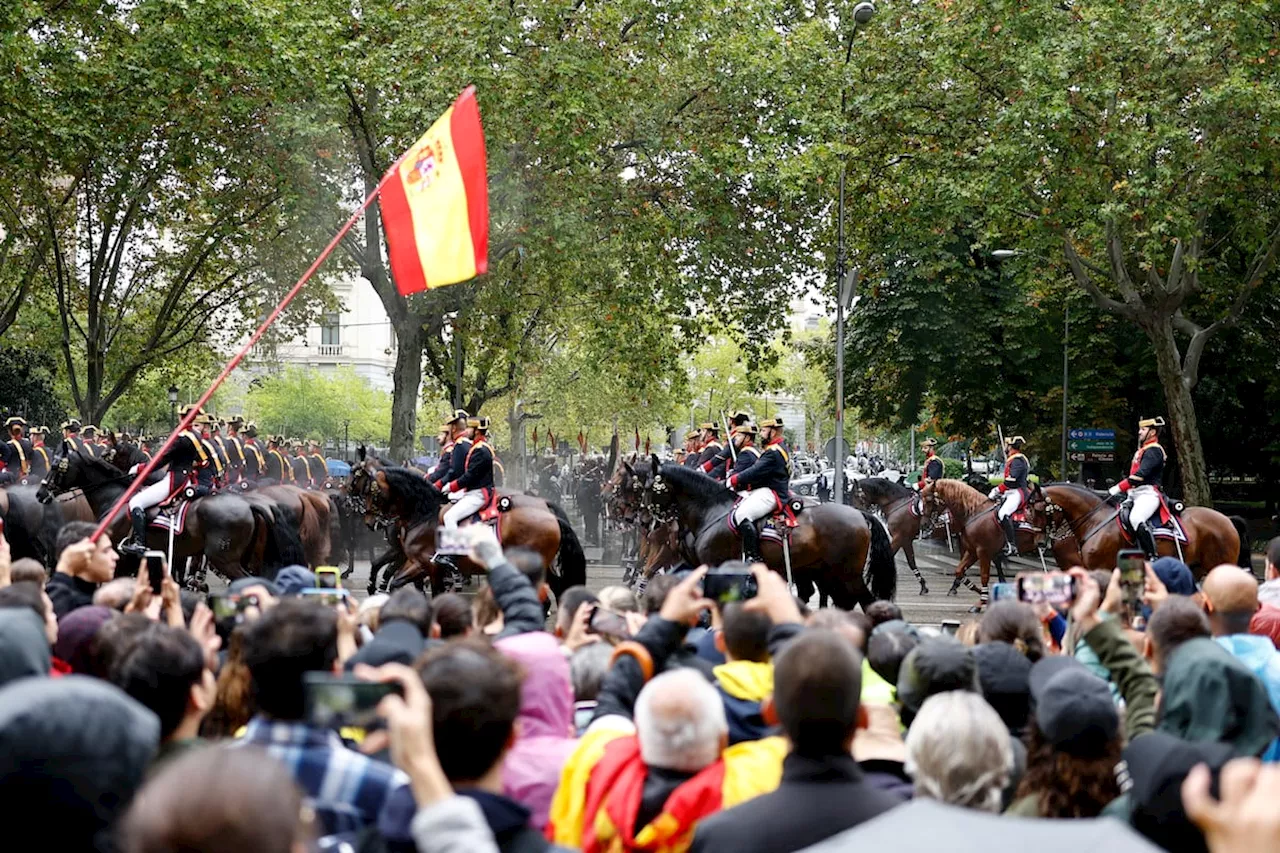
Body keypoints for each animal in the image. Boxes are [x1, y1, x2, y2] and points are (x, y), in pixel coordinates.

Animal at [38, 440, 285, 581]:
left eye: (56, 467)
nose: (40, 493)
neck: (115, 499)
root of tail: (248, 503)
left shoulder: (119, 560)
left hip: (225, 560)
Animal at [366, 461, 586, 594]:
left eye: (373, 493)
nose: (369, 522)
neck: (424, 514)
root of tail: (548, 513)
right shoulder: (416, 563)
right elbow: (396, 580)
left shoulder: (428, 565)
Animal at [634, 458, 896, 612]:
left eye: (648, 488)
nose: (644, 521)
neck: (711, 510)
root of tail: (859, 513)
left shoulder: (714, 565)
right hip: (827, 573)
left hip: (846, 575)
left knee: (864, 602)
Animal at [921, 473, 1070, 607]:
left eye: (928, 500)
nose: (924, 524)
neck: (975, 512)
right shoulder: (973, 552)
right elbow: (959, 571)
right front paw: (982, 593)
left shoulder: (983, 552)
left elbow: (984, 575)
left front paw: (982, 601)